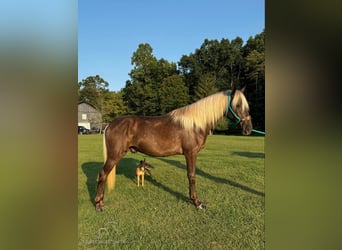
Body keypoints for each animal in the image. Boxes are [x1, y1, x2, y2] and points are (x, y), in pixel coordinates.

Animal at [95, 86, 252, 211]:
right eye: (238, 104)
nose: (248, 129)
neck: (195, 124)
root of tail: (110, 124)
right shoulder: (190, 153)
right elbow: (192, 175)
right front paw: (197, 202)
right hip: (114, 155)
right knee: (102, 174)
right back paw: (98, 204)